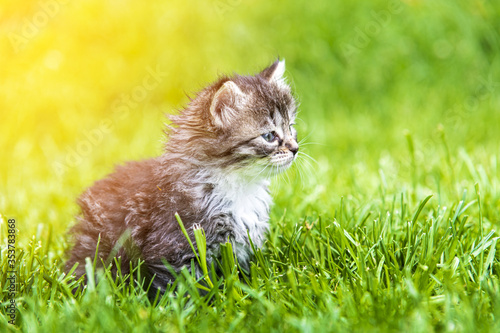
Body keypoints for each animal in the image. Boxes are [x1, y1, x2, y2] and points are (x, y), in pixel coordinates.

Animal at [67, 60, 300, 294]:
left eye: (291, 128)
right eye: (269, 136)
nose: (295, 149)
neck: (240, 186)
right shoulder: (175, 246)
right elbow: (184, 288)